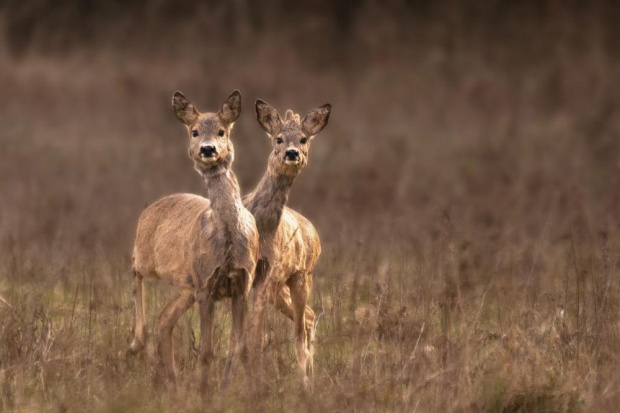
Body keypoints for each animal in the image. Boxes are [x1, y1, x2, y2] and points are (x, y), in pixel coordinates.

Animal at [129, 89, 260, 390]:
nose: (208, 149)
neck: (229, 243)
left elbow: (241, 347)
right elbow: (207, 351)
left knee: (165, 319)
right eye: (194, 131)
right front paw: (204, 391)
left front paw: (243, 389)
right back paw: (135, 343)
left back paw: (173, 382)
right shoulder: (205, 285)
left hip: (185, 284)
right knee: (134, 271)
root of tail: (150, 208)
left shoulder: (242, 284)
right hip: (148, 255)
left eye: (222, 131)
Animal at [243, 100, 332, 390]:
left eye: (303, 139)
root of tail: (313, 232)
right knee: (309, 317)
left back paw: (306, 383)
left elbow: (255, 333)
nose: (292, 153)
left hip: (300, 276)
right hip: (279, 287)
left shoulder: (266, 274)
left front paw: (254, 381)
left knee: (302, 327)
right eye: (278, 138)